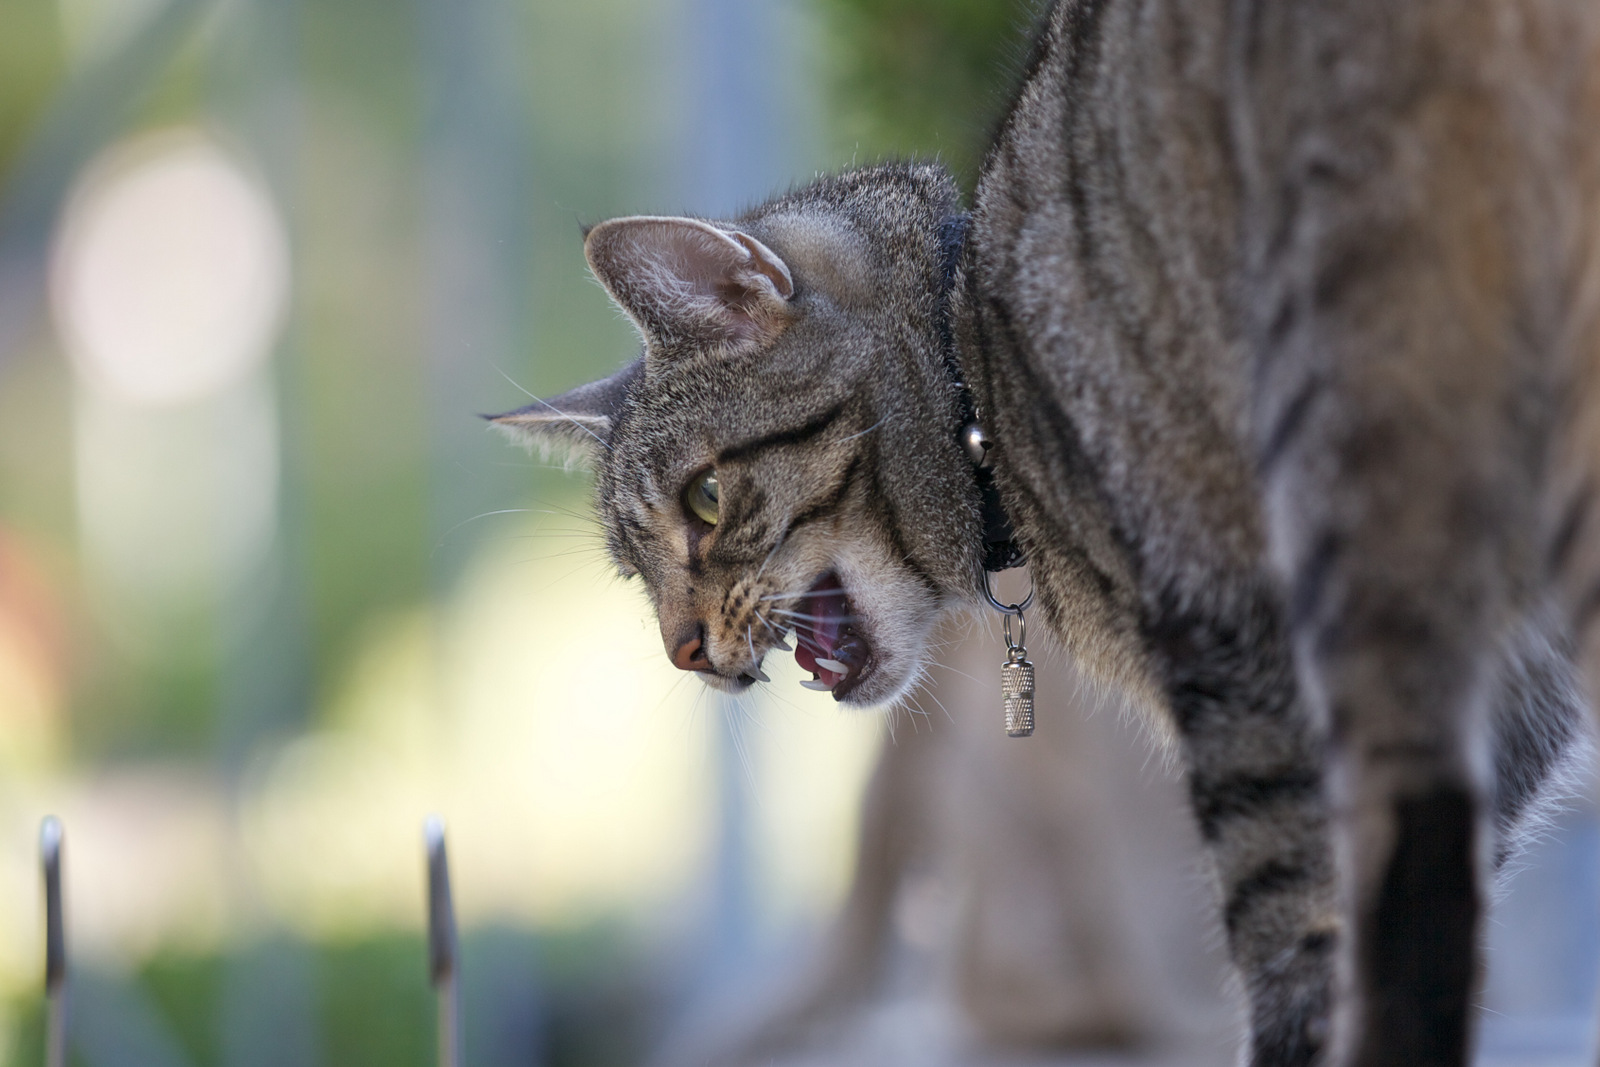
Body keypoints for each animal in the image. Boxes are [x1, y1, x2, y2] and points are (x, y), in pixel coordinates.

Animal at [496, 2, 1600, 1067]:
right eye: (634, 570)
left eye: (705, 501)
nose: (680, 650)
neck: (983, 370)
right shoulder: (1512, 700)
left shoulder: (1239, 646)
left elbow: (1308, 936)